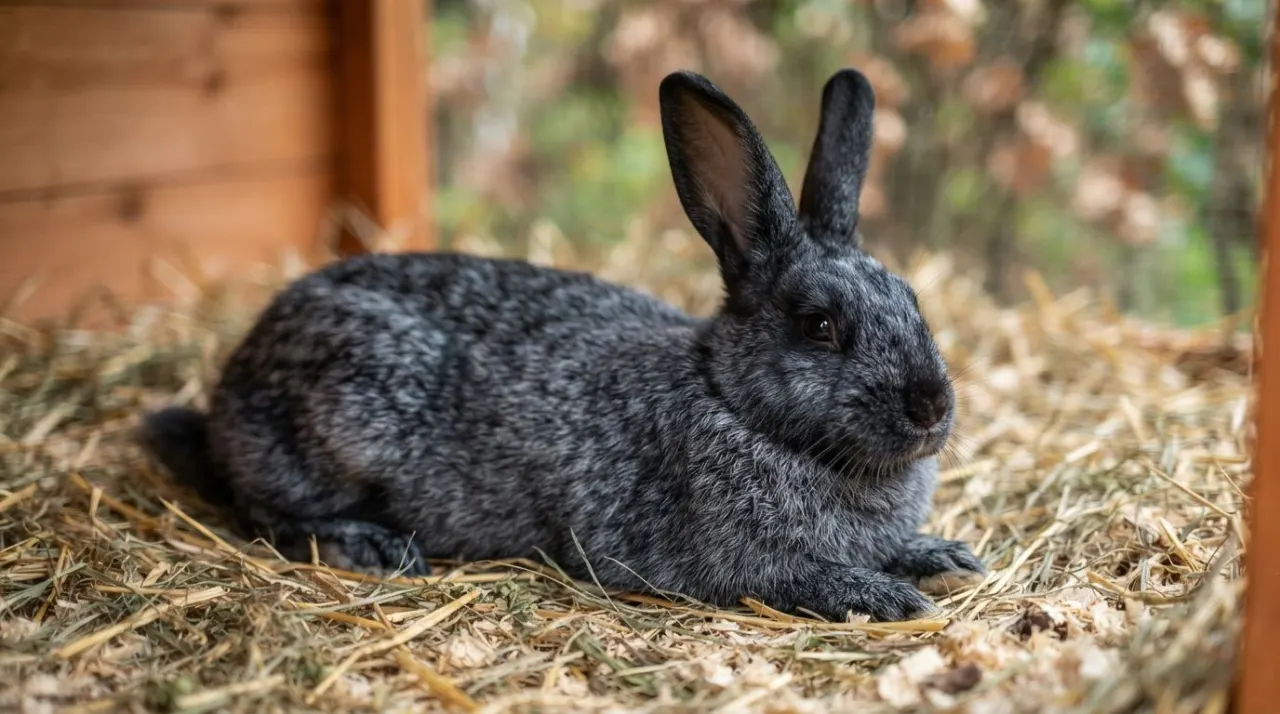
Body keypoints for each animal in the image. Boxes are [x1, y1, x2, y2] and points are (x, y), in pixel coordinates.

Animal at [138, 67, 984, 622]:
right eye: (819, 325)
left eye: (913, 300)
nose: (931, 408)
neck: (732, 401)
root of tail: (233, 386)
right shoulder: (733, 558)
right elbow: (799, 577)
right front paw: (886, 596)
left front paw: (942, 557)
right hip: (340, 418)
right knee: (264, 509)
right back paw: (371, 546)